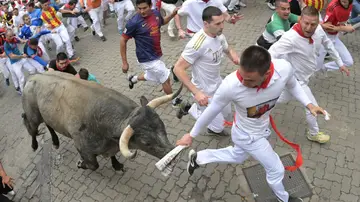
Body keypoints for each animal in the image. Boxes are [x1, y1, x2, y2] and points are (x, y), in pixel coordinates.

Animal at [21, 70, 181, 170]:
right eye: (146, 143)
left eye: (163, 128)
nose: (174, 154)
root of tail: (33, 76)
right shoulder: (83, 149)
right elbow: (93, 165)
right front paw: (81, 164)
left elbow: (112, 156)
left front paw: (116, 165)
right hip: (33, 116)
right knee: (32, 128)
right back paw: (34, 145)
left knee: (49, 125)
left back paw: (55, 141)